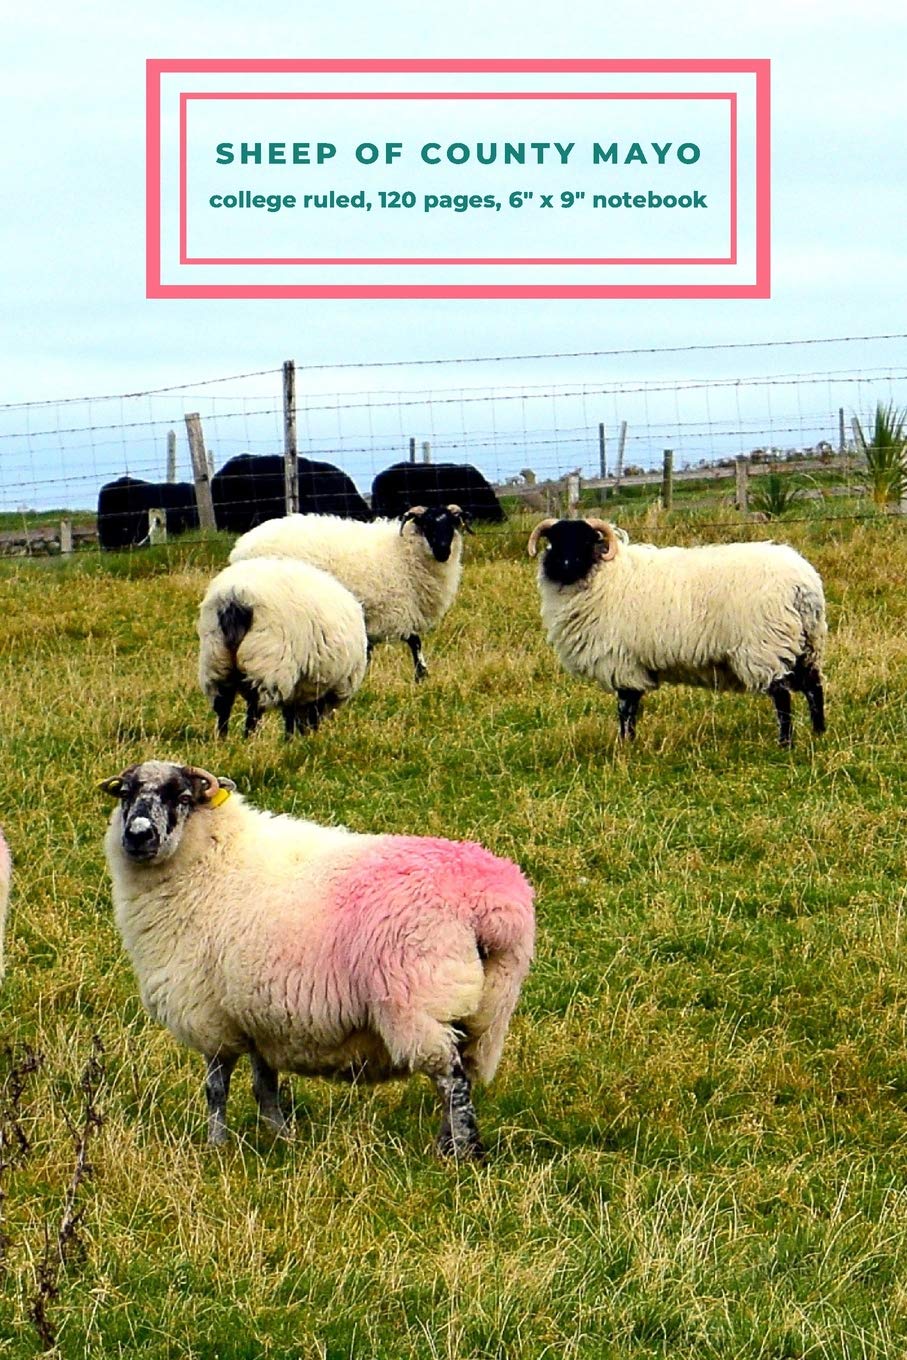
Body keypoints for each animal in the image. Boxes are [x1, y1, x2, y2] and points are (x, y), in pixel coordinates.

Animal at [99, 761, 535, 1160]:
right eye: (126, 794)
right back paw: (448, 1144)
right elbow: (264, 1083)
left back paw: (462, 1153)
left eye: (184, 798)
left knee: (451, 1079)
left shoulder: (211, 1015)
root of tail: (490, 900)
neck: (210, 856)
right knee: (463, 1069)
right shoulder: (256, 1016)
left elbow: (216, 1088)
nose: (138, 835)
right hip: (489, 1004)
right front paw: (279, 1137)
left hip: (421, 999)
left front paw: (215, 1146)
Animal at [197, 558, 368, 738]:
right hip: (267, 661)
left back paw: (222, 739)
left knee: (223, 704)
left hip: (215, 657)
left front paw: (291, 738)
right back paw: (249, 738)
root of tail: (235, 597)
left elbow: (290, 715)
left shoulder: (297, 690)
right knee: (254, 707)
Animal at [228, 505, 473, 681]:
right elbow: (414, 641)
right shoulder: (393, 609)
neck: (403, 552)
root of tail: (240, 548)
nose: (443, 551)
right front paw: (421, 674)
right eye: (427, 525)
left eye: (451, 525)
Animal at [528, 517, 827, 747]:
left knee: (782, 697)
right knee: (814, 687)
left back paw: (785, 743)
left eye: (587, 540)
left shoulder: (622, 661)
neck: (603, 575)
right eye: (553, 541)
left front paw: (625, 745)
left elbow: (626, 707)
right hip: (804, 643)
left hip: (764, 646)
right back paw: (818, 733)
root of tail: (804, 583)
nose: (566, 564)